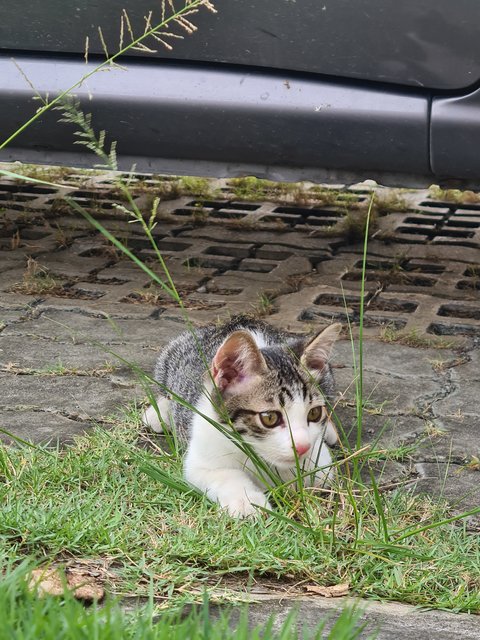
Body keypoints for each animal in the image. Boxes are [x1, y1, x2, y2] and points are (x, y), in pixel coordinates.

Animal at [142, 318, 342, 516]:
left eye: (314, 413)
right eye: (269, 418)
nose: (302, 447)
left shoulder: (321, 462)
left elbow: (320, 477)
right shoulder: (203, 448)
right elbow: (222, 474)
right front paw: (246, 502)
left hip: (328, 375)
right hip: (174, 354)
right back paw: (158, 414)